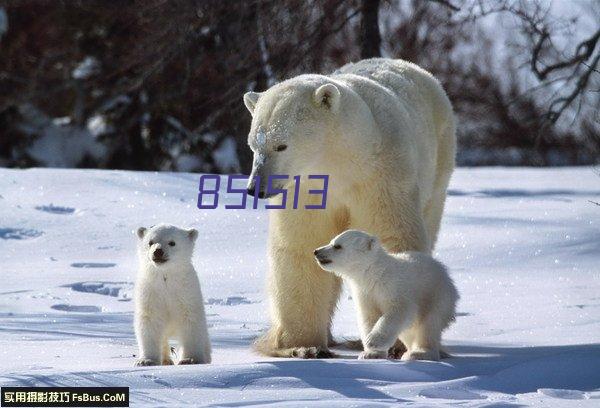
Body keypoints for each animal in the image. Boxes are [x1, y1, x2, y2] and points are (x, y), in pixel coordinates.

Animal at [241, 57, 452, 356]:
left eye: (281, 145)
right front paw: (303, 346)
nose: (255, 189)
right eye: (253, 146)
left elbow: (392, 234)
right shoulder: (307, 188)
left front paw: (395, 344)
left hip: (438, 165)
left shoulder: (380, 176)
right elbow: (301, 246)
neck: (342, 161)